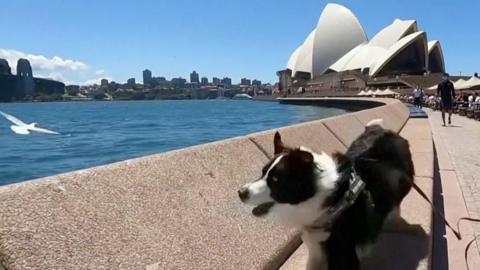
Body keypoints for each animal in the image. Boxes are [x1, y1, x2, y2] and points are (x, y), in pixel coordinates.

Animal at [238, 119, 414, 268]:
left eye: (275, 180)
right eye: (263, 172)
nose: (240, 192)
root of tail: (384, 130)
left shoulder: (344, 253)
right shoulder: (316, 247)